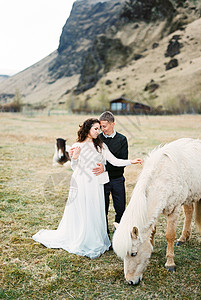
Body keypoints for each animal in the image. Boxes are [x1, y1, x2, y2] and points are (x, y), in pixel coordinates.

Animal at [113, 138, 201, 286]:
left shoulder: (174, 209)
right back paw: (183, 238)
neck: (163, 176)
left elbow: (170, 235)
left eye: (134, 253)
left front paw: (170, 263)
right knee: (189, 212)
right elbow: (152, 232)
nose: (130, 281)